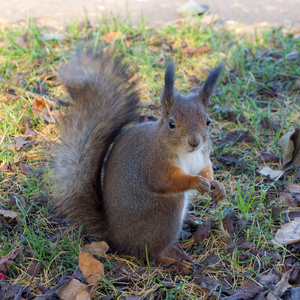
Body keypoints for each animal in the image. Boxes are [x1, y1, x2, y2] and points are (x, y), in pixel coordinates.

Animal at [52, 52, 225, 274]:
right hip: (166, 212)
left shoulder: (202, 157)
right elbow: (165, 182)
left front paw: (217, 186)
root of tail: (117, 237)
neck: (187, 153)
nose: (194, 142)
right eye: (171, 123)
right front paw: (196, 182)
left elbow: (206, 169)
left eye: (208, 121)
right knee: (150, 254)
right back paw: (175, 262)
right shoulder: (153, 162)